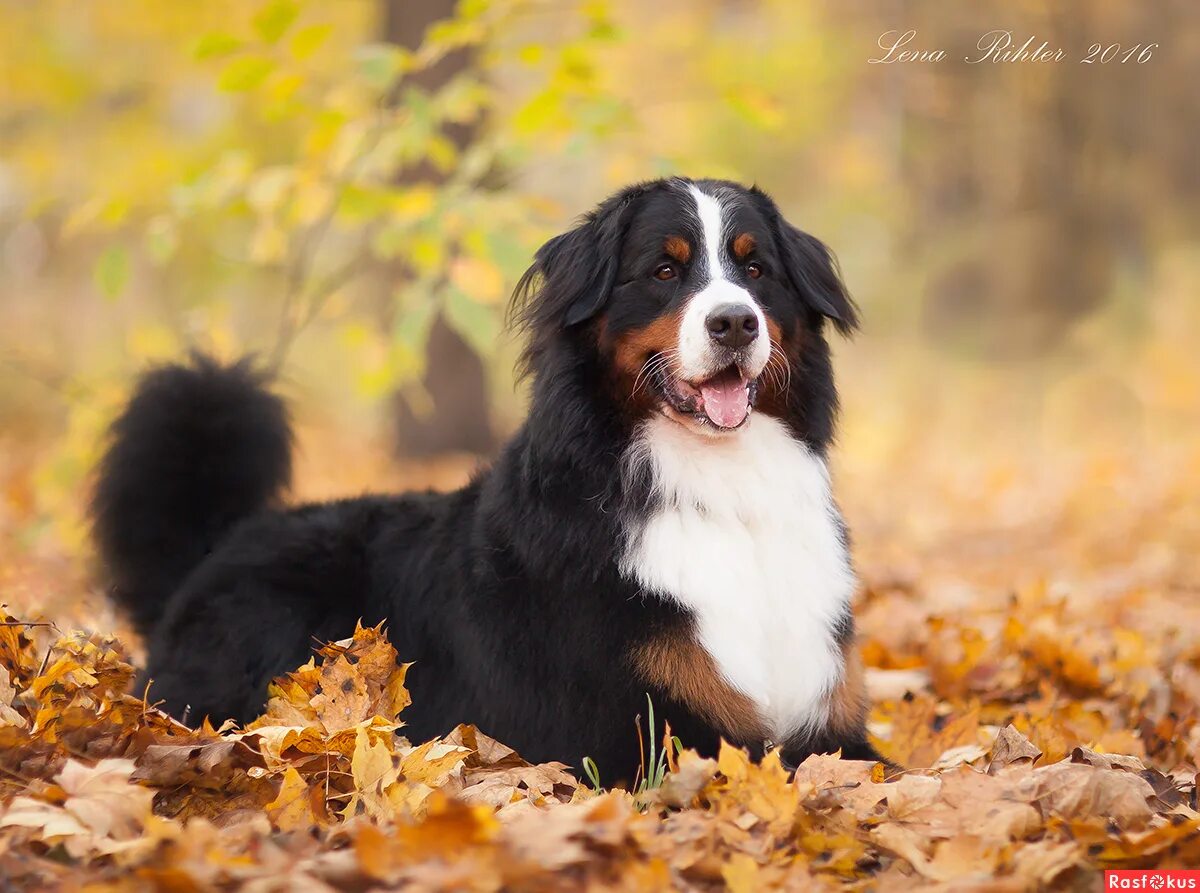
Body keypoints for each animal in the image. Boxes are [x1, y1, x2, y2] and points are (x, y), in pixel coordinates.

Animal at [93, 177, 878, 777]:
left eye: (755, 269)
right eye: (664, 270)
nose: (735, 323)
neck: (722, 492)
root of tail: (219, 546)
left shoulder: (830, 726)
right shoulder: (632, 736)